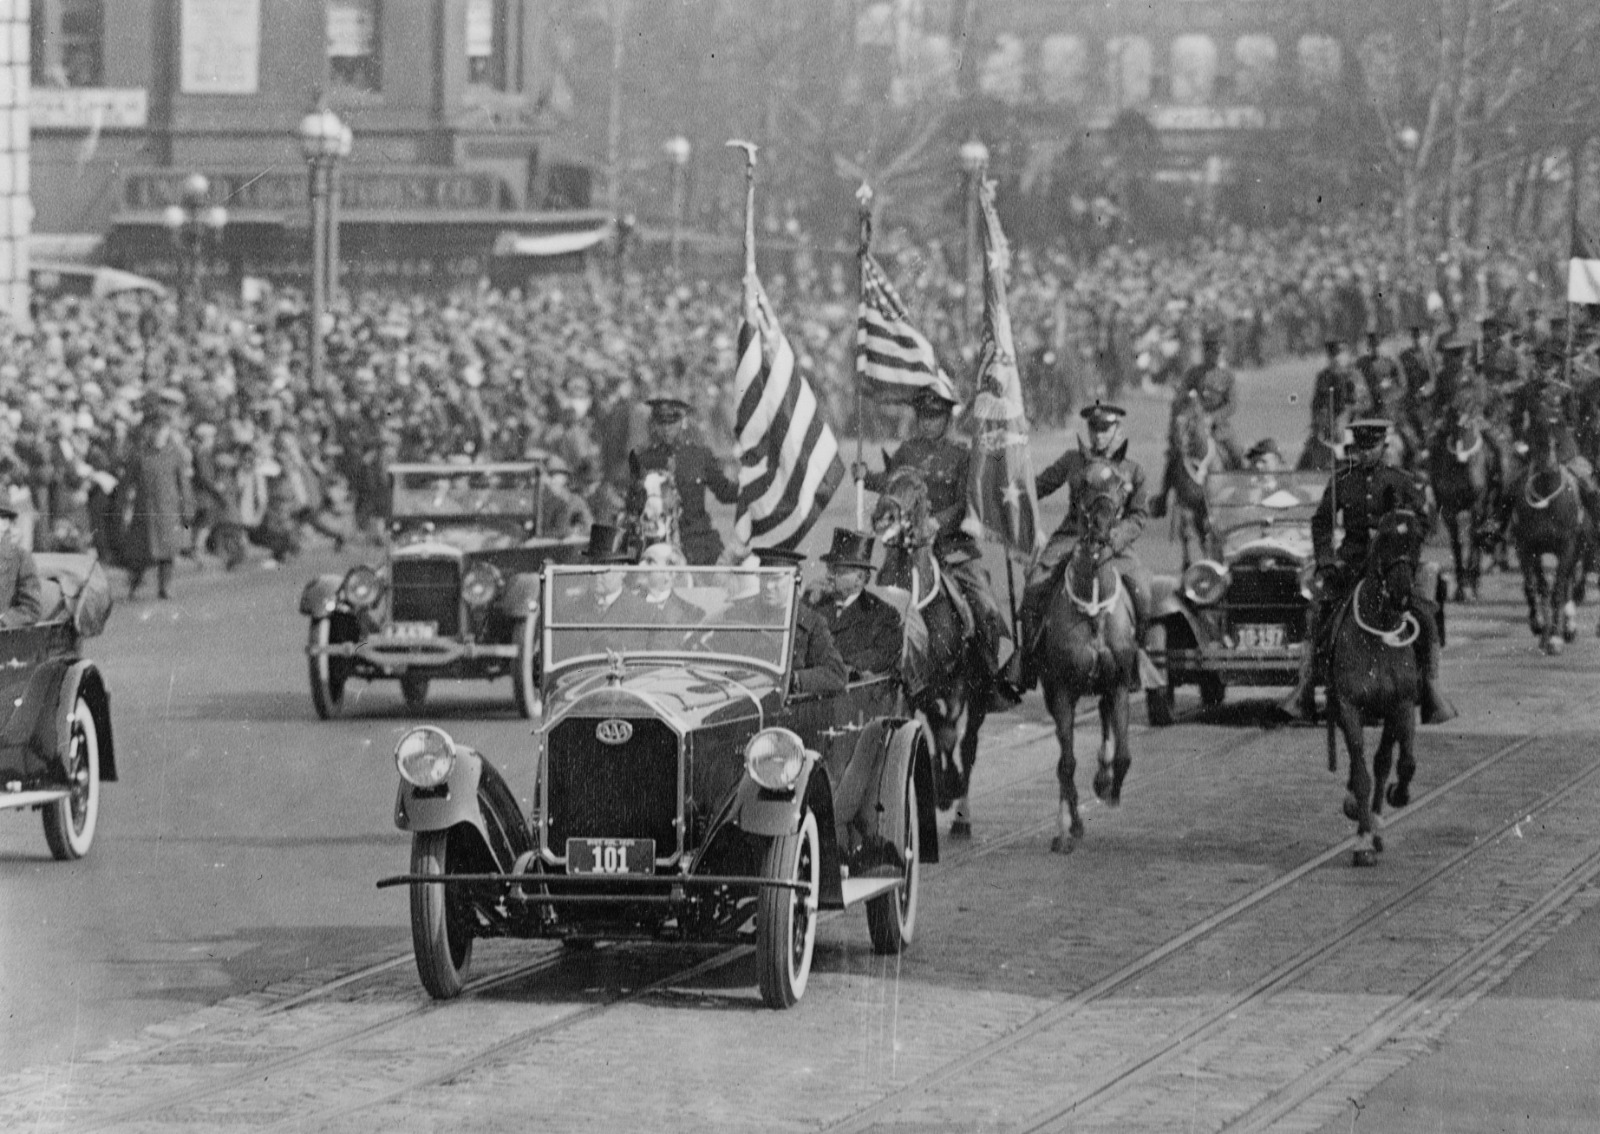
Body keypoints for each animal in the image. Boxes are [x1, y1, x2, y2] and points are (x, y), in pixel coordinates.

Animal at [870, 463, 992, 838]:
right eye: (887, 483)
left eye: (919, 492)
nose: (882, 516)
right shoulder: (912, 689)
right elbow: (931, 729)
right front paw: (939, 784)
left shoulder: (953, 685)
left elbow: (948, 733)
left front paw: (947, 786)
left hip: (978, 696)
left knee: (968, 745)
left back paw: (961, 814)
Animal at [1036, 454, 1139, 850]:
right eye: (1079, 482)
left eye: (1123, 484)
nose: (1100, 529)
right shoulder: (1062, 692)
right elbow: (1066, 764)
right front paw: (1070, 829)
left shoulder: (1120, 684)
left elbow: (1123, 755)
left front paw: (1109, 789)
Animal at [1324, 511, 1427, 870]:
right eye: (1382, 538)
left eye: (1417, 539)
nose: (1401, 594)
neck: (1378, 638)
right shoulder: (1349, 707)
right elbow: (1361, 773)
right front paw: (1362, 842)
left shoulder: (1402, 704)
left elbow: (1404, 762)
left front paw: (1399, 794)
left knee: (1384, 761)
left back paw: (1379, 822)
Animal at [1427, 398, 1497, 601]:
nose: (1461, 457)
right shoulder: (1449, 511)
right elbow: (1456, 544)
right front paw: (1459, 588)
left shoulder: (1476, 508)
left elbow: (1473, 539)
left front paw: (1470, 585)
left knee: (1478, 537)